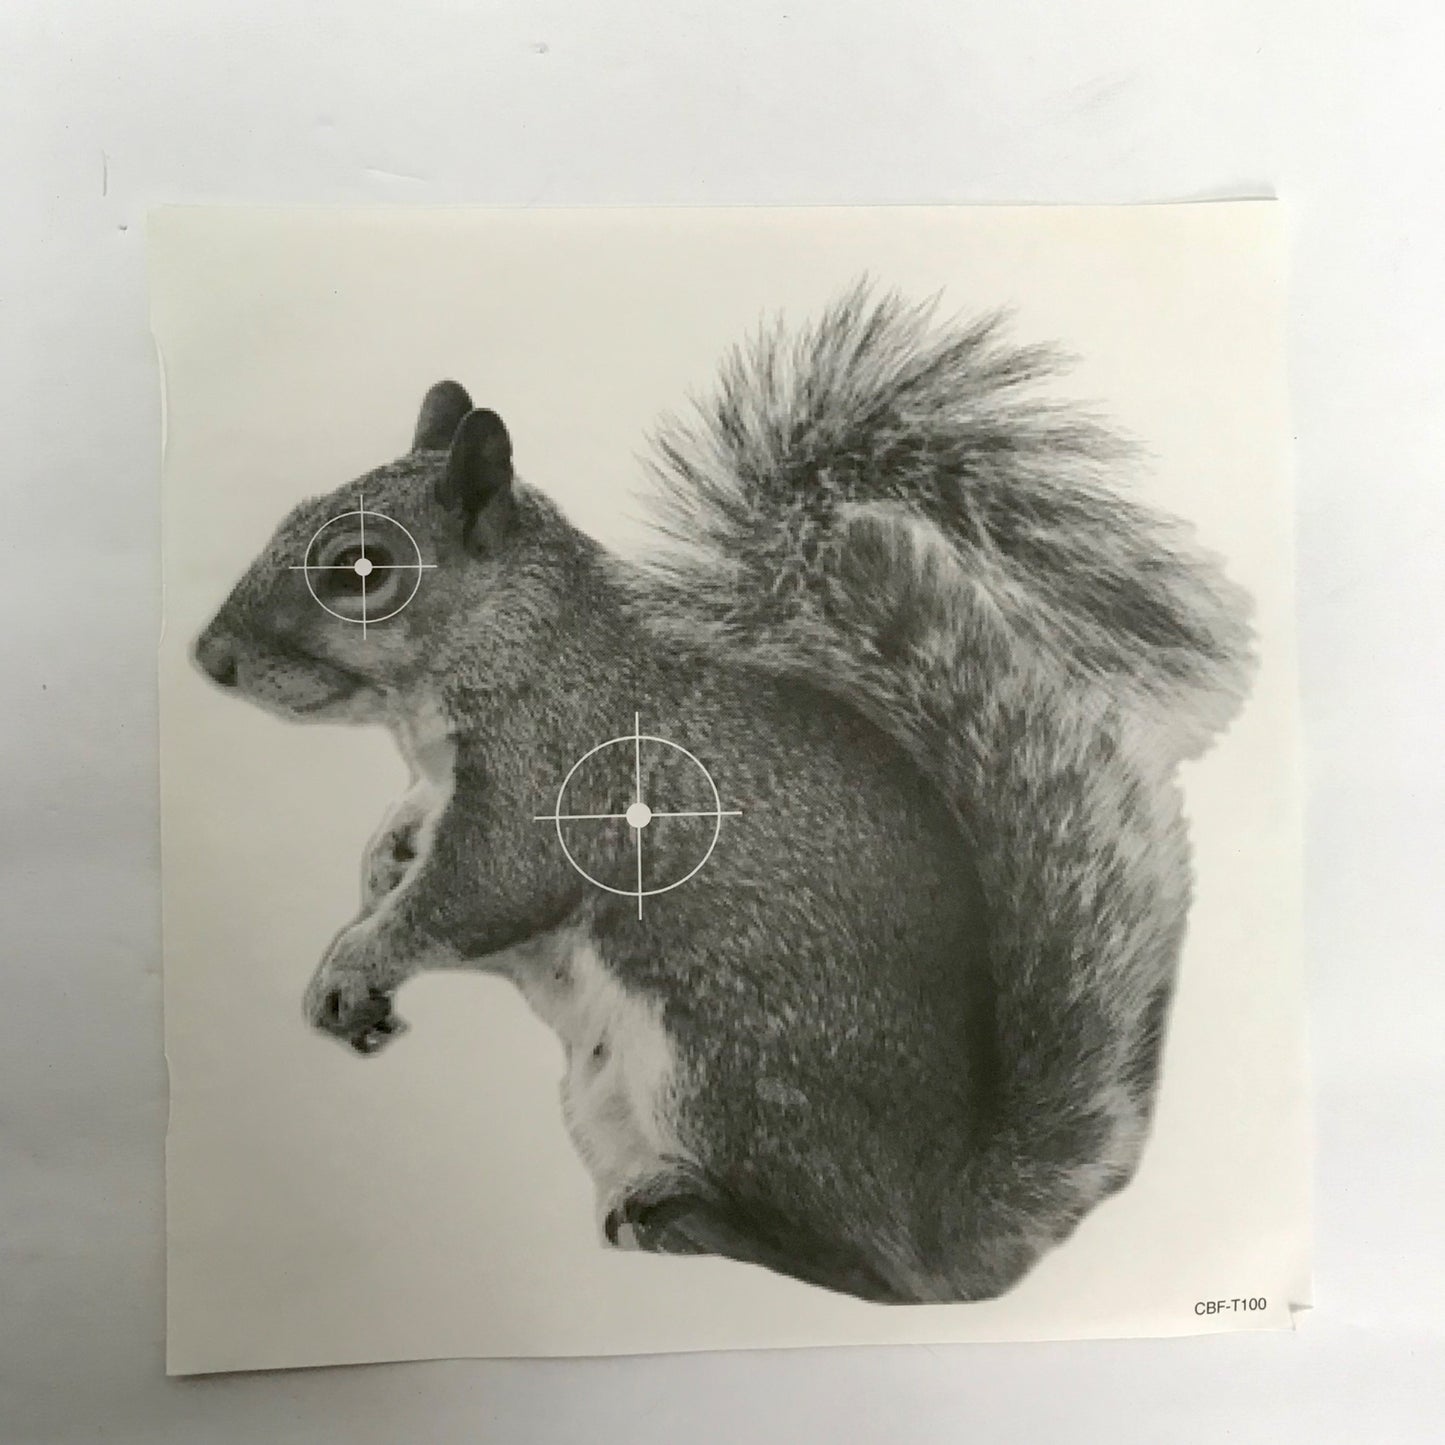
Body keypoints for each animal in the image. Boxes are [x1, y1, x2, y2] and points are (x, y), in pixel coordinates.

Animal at [193, 285, 1253, 1304]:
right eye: (293, 513)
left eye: (363, 569)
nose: (208, 658)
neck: (512, 647)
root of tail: (949, 1222)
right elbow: (413, 837)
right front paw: (382, 865)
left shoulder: (557, 774)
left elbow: (484, 889)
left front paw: (352, 960)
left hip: (726, 1069)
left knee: (874, 1271)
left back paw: (705, 1221)